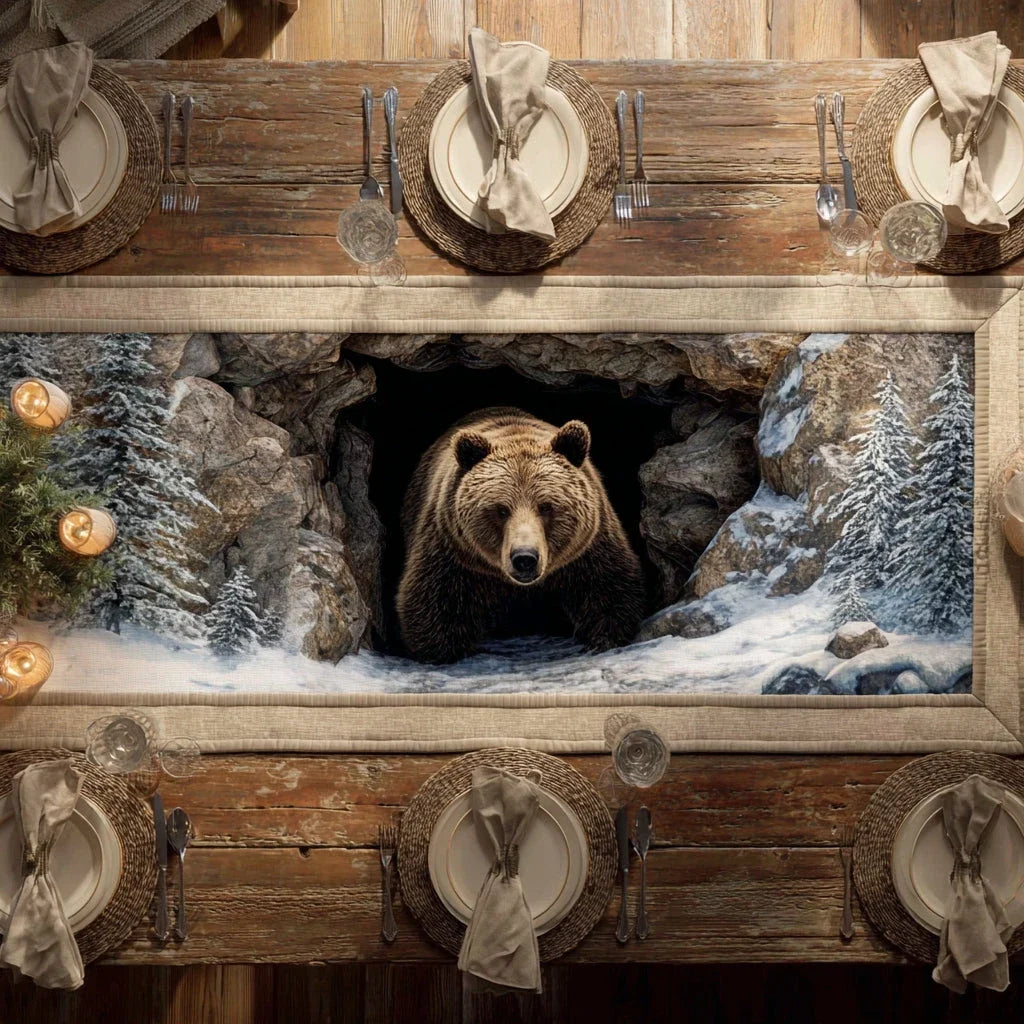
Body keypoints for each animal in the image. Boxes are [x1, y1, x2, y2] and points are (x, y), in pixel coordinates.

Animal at [396, 407, 646, 664]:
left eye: (545, 506)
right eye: (501, 509)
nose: (525, 558)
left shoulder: (587, 550)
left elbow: (609, 590)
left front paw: (604, 638)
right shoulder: (456, 556)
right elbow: (434, 604)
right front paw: (445, 652)